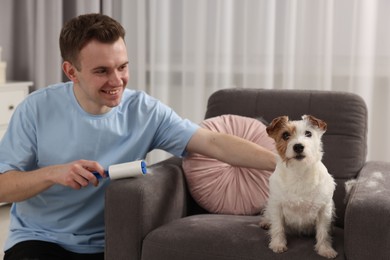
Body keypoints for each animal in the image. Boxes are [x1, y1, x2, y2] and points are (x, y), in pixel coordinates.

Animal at [258, 115, 338, 258]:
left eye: (308, 133)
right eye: (285, 135)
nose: (298, 147)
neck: (299, 172)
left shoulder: (324, 209)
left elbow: (323, 232)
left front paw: (325, 249)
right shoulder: (277, 205)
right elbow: (278, 227)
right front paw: (278, 244)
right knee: (268, 214)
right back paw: (266, 222)